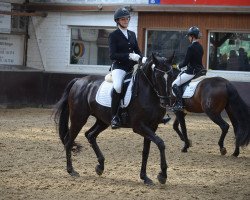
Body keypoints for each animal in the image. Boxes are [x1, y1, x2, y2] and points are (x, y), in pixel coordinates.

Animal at [53, 52, 174, 184]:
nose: (166, 102)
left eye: (171, 76)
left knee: (90, 135)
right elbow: (160, 143)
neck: (147, 92)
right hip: (78, 119)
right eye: (157, 76)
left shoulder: (152, 126)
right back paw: (71, 170)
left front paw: (145, 177)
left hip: (102, 121)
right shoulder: (139, 126)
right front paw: (162, 175)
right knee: (69, 141)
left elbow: (146, 151)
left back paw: (100, 166)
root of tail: (78, 80)